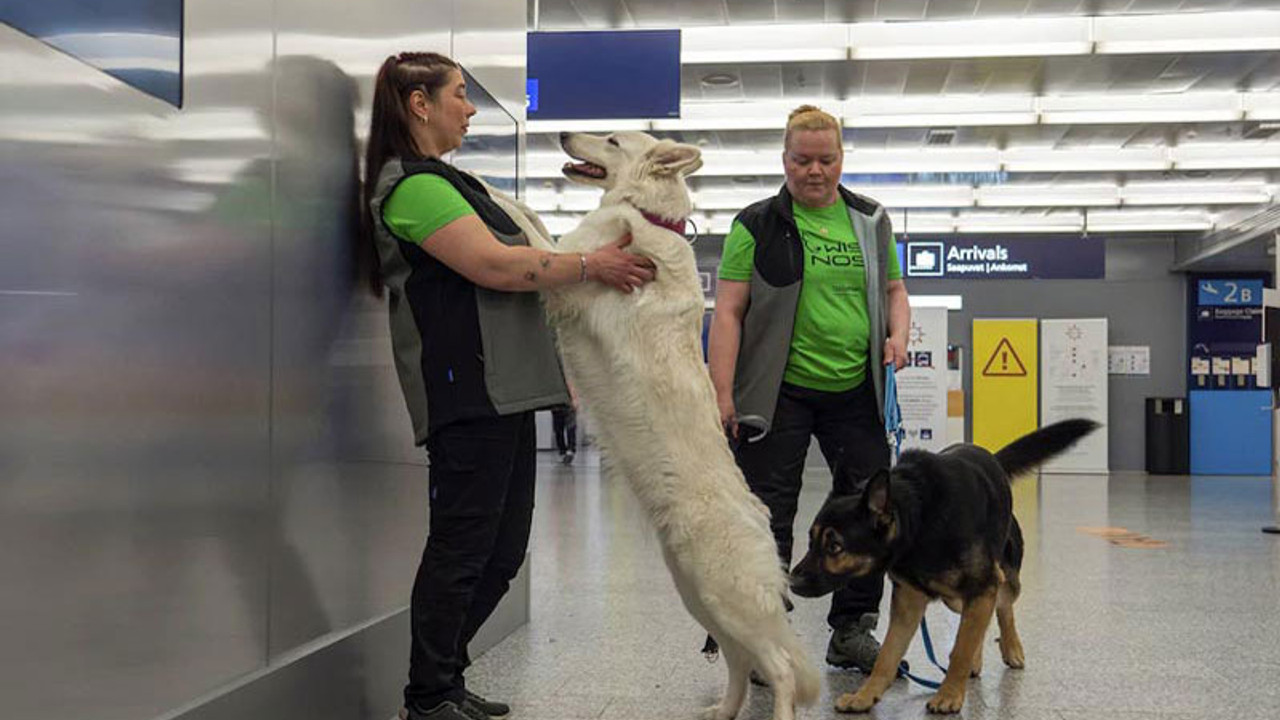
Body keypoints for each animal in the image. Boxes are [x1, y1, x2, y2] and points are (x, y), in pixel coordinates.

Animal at [481, 131, 819, 717]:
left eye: (613, 139)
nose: (562, 135)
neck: (647, 215)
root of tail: (760, 518)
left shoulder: (569, 266)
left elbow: (528, 224)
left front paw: (484, 185)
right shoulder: (569, 257)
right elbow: (537, 223)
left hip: (725, 596)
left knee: (777, 667)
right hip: (699, 599)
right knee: (739, 660)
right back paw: (722, 711)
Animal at [788, 417, 1100, 707]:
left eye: (835, 547)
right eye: (811, 539)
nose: (791, 581)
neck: (918, 521)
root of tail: (993, 459)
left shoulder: (982, 586)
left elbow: (961, 647)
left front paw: (949, 694)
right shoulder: (909, 602)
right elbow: (889, 654)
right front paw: (866, 696)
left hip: (1003, 580)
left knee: (1003, 606)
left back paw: (1011, 648)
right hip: (957, 598)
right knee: (977, 622)